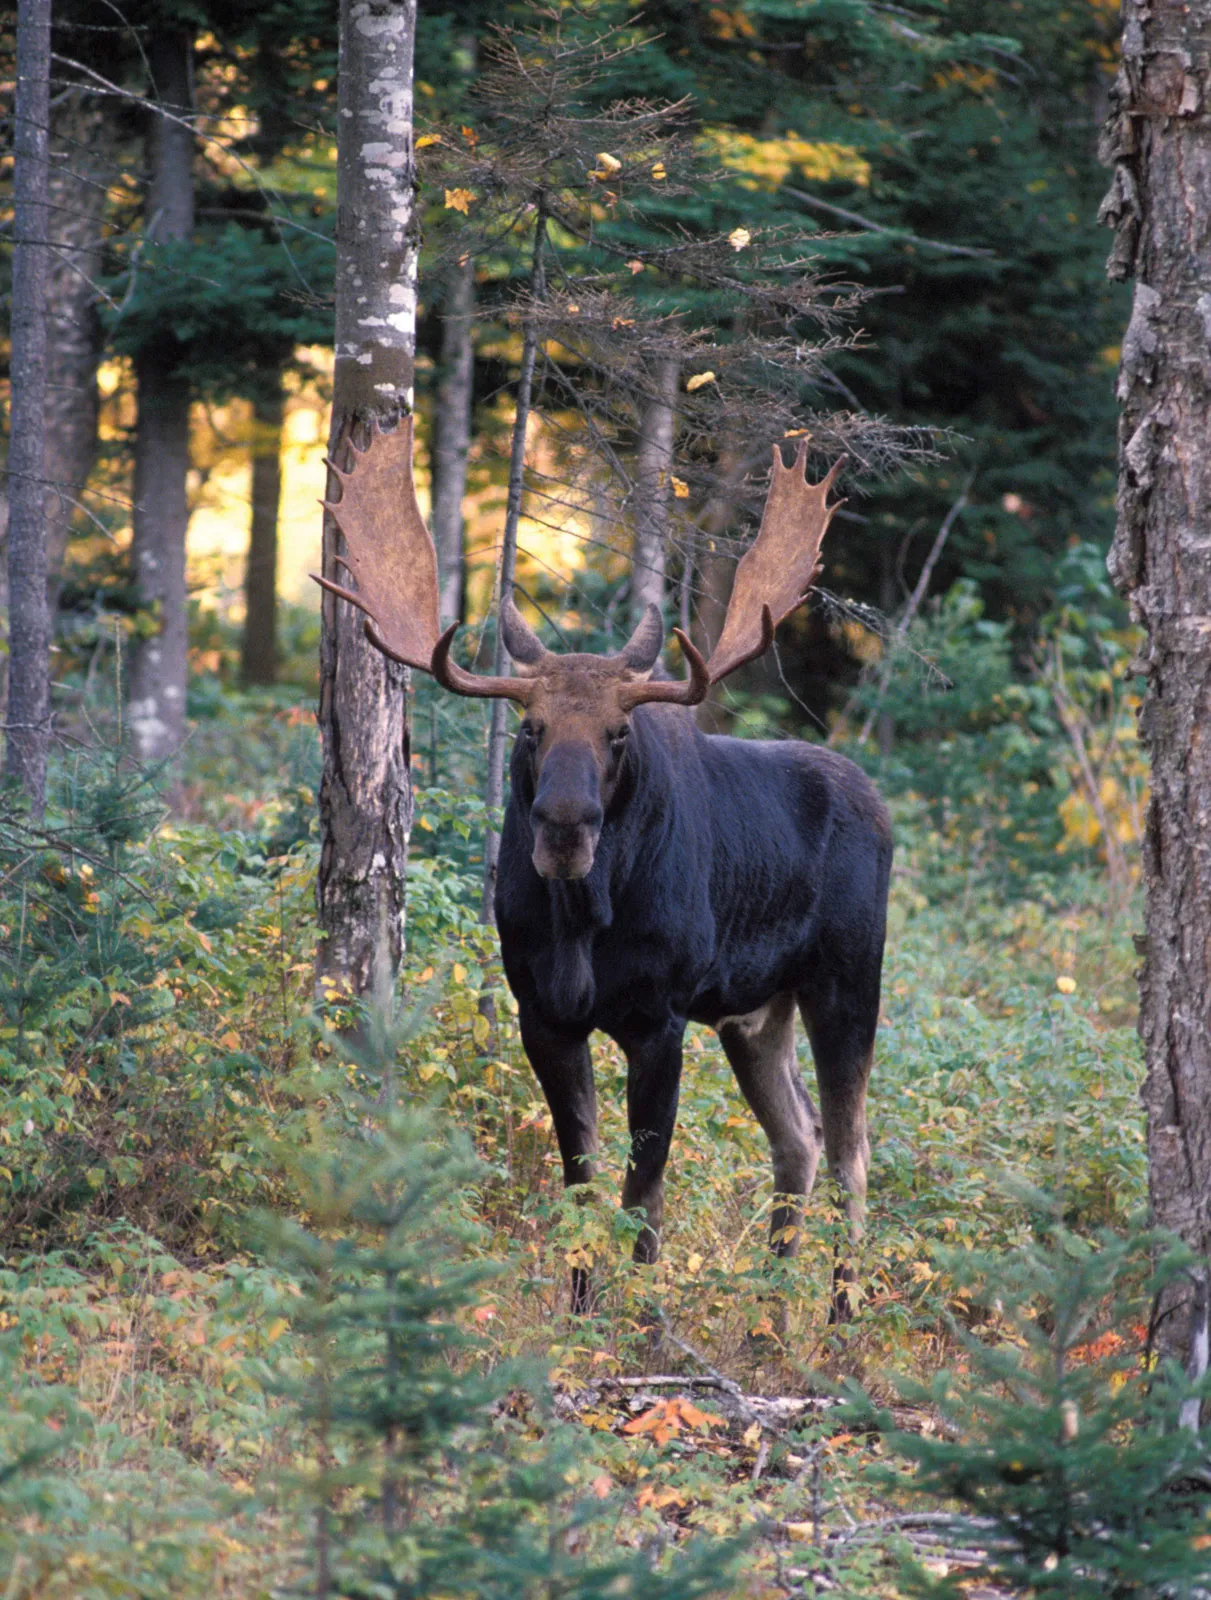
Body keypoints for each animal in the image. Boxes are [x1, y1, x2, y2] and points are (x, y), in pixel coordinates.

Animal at [316, 418, 892, 1318]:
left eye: (617, 734)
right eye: (531, 728)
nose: (563, 826)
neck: (583, 923)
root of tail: (879, 804)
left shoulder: (660, 1016)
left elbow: (643, 1191)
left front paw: (642, 1322)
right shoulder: (543, 1015)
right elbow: (580, 1180)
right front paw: (582, 1309)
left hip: (845, 978)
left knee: (850, 1152)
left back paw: (837, 1318)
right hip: (755, 1011)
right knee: (797, 1136)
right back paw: (767, 1311)